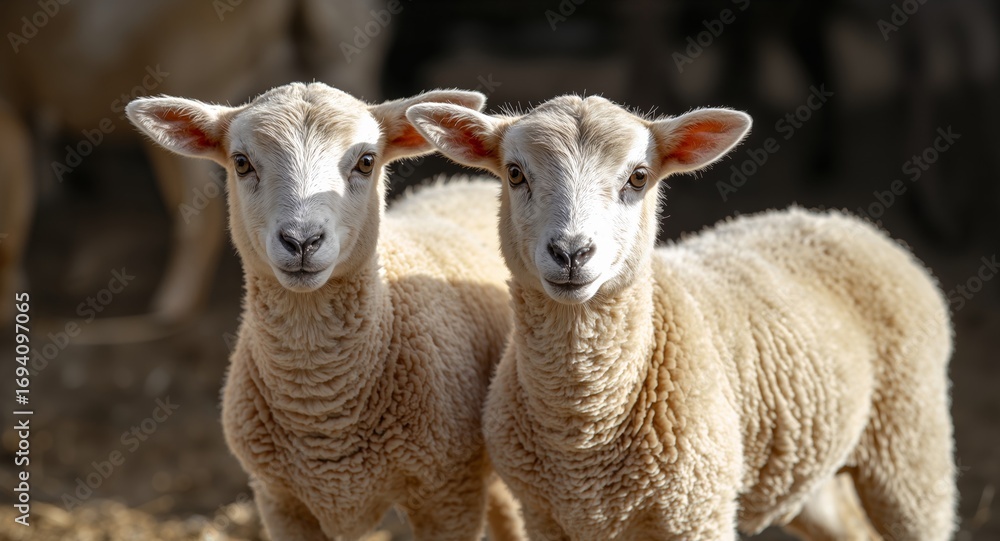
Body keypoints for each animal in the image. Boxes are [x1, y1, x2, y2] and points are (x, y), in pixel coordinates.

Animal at [126, 82, 525, 541]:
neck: (321, 403)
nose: (302, 241)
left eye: (366, 161)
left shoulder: (447, 496)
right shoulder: (280, 501)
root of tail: (460, 181)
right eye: (242, 163)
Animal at [406, 95, 957, 541]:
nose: (571, 252)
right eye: (515, 173)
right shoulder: (546, 515)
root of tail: (843, 221)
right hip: (812, 464)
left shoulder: (696, 511)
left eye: (638, 177)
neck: (585, 431)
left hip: (912, 442)